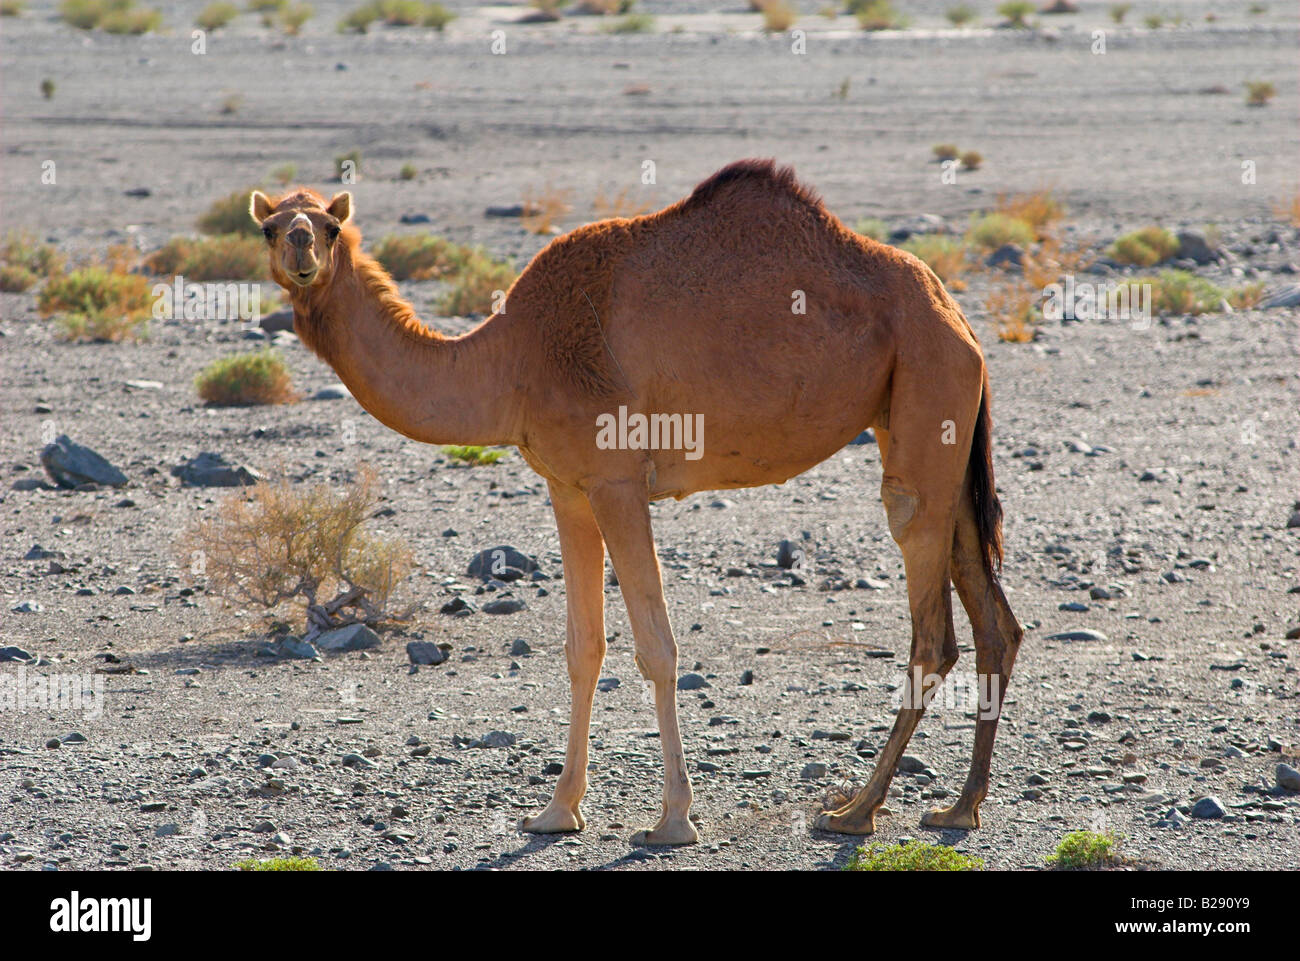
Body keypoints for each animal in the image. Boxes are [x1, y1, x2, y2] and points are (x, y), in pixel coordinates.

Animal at [250, 161, 1024, 847]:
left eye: (326, 223)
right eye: (268, 227)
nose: (301, 248)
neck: (511, 359)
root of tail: (959, 318)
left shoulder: (617, 479)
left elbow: (656, 645)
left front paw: (673, 820)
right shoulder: (566, 485)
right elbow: (583, 647)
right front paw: (557, 810)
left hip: (927, 389)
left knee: (930, 614)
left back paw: (855, 810)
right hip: (934, 424)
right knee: (996, 622)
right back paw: (959, 807)